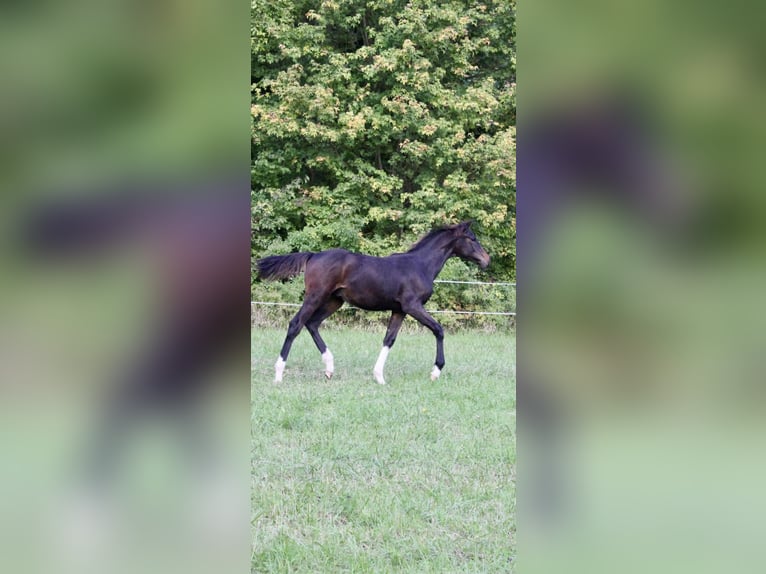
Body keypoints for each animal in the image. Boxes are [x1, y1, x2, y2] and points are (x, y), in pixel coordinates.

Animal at [256, 221, 490, 384]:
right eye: (472, 238)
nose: (487, 260)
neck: (420, 265)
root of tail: (313, 255)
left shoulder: (399, 310)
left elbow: (389, 339)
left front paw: (379, 377)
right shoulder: (412, 306)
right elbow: (439, 330)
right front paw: (435, 372)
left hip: (334, 301)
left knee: (312, 324)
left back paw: (329, 368)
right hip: (315, 296)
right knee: (296, 325)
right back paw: (279, 375)